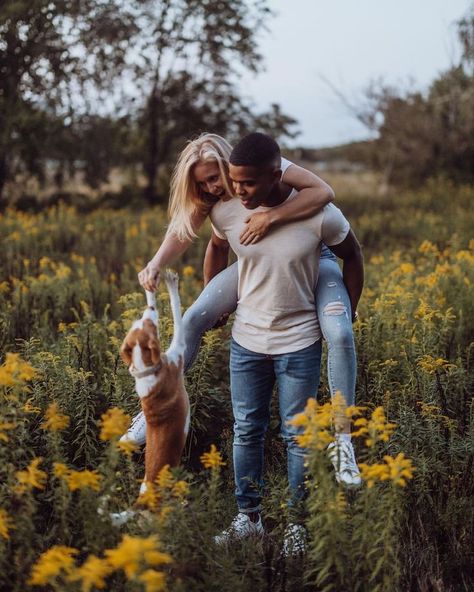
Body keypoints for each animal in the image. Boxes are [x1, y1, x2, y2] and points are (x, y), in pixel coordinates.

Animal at [119, 270, 190, 498]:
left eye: (140, 322)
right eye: (151, 325)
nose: (149, 310)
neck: (147, 369)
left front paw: (150, 288)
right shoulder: (179, 346)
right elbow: (176, 311)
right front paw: (170, 283)